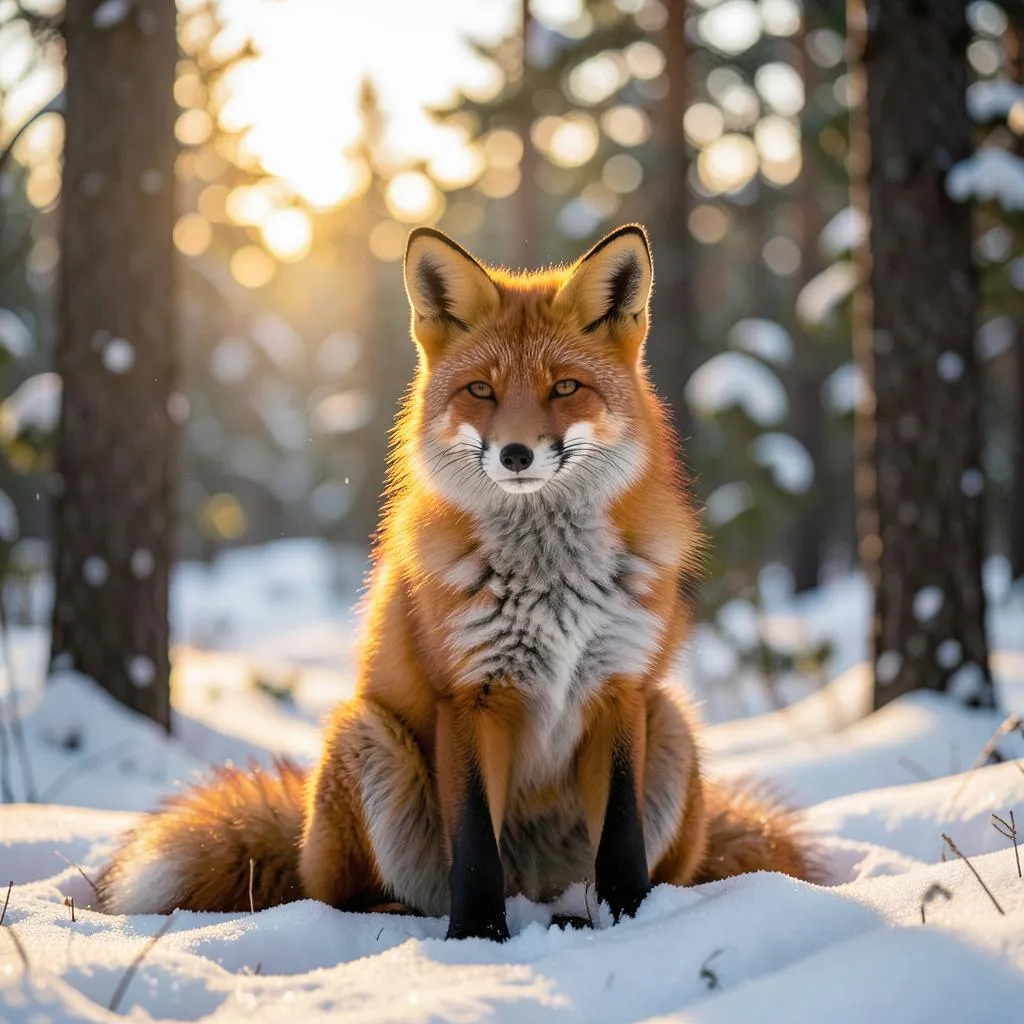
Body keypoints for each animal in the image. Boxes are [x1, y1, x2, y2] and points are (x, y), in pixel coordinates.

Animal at [98, 224, 813, 940]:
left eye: (564, 388)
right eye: (480, 391)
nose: (516, 454)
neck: (549, 583)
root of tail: (534, 884)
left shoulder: (619, 689)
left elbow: (622, 843)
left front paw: (635, 922)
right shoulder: (470, 695)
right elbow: (473, 846)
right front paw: (476, 938)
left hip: (671, 724)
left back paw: (576, 919)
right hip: (367, 737)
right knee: (344, 895)